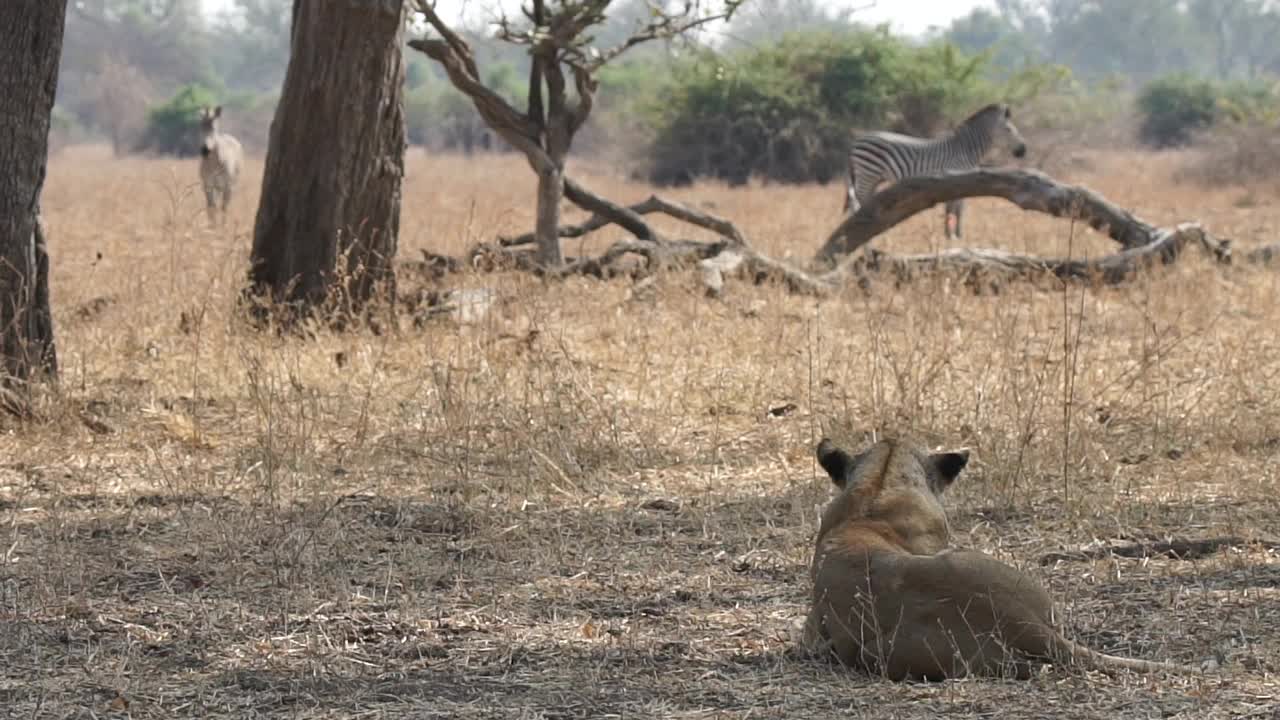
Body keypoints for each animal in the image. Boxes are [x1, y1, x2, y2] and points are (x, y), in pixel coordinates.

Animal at [839, 102, 1029, 239]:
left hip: (873, 177)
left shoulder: (964, 181)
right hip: (868, 173)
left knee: (863, 200)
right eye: (1008, 130)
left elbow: (957, 208)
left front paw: (954, 235)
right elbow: (954, 208)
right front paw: (953, 236)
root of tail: (856, 141)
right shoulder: (957, 179)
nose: (1023, 151)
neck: (965, 150)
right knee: (858, 200)